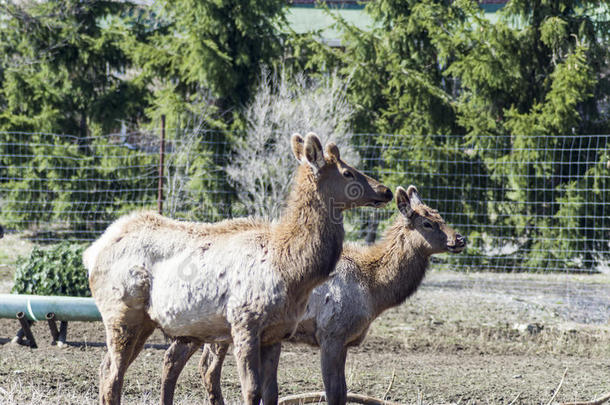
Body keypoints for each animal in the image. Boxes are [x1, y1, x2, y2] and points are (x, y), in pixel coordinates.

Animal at [84, 133, 390, 404]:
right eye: (348, 172)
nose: (385, 190)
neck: (292, 271)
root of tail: (92, 251)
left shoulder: (276, 333)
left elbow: (271, 394)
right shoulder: (245, 323)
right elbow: (251, 392)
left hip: (144, 321)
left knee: (105, 368)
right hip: (121, 314)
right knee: (113, 377)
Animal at [192, 185, 464, 402]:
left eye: (440, 215)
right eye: (427, 223)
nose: (459, 239)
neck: (374, 291)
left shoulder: (344, 342)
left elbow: (342, 391)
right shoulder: (331, 334)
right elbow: (333, 393)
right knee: (208, 370)